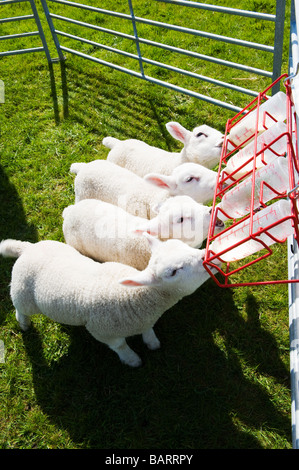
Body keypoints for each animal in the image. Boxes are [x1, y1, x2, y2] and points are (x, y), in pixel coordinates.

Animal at [0, 235, 218, 368]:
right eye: (173, 272)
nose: (209, 255)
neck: (135, 297)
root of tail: (28, 248)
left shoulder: (145, 320)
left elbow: (148, 330)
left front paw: (152, 342)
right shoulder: (103, 332)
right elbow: (120, 346)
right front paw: (132, 360)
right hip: (23, 293)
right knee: (20, 308)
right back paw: (23, 324)